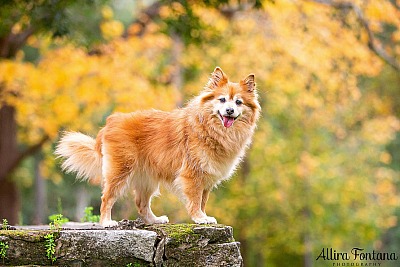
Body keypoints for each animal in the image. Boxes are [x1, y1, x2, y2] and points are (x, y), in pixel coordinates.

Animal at [55, 68, 260, 227]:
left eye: (238, 102)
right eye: (222, 100)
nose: (229, 110)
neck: (213, 130)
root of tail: (110, 122)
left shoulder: (206, 178)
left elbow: (202, 201)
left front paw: (203, 216)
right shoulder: (192, 175)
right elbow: (195, 200)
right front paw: (199, 218)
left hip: (147, 178)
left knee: (141, 203)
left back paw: (154, 220)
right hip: (120, 171)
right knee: (107, 198)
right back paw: (106, 222)